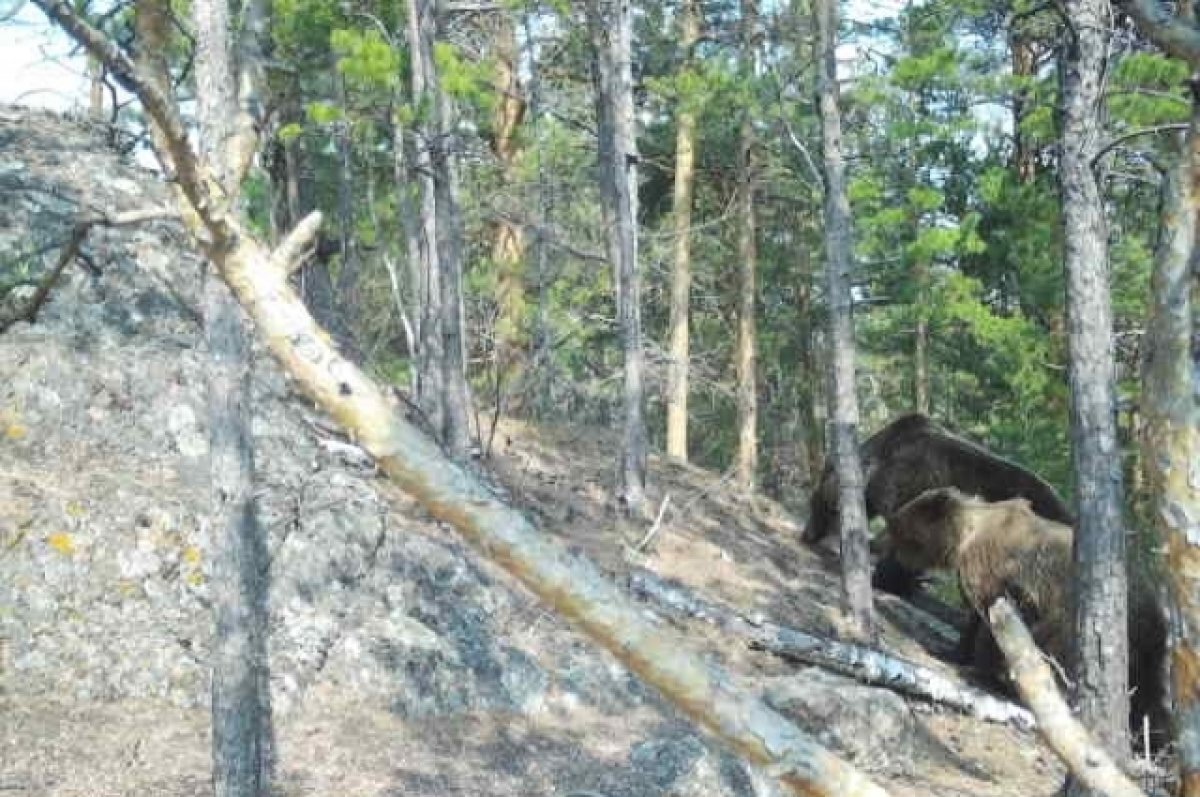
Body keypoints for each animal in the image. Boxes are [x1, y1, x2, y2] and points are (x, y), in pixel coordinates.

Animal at [888, 484, 1166, 748]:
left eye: (898, 529)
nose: (886, 549)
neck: (965, 535)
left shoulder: (994, 575)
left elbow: (987, 624)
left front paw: (974, 666)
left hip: (1071, 614)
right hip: (1147, 649)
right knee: (1147, 694)